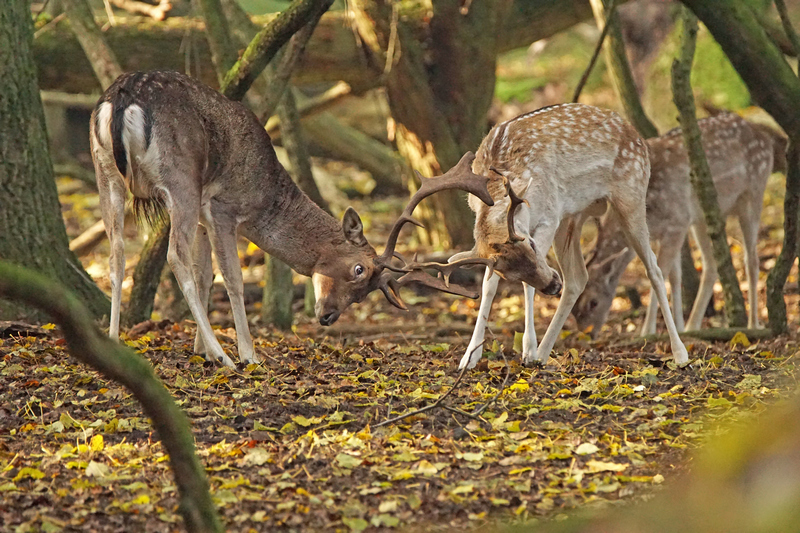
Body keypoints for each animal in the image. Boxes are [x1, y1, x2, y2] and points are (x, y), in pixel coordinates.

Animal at [89, 69, 494, 366]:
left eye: (364, 294)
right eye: (359, 270)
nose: (328, 316)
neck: (266, 194)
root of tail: (121, 99)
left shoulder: (206, 214)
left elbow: (205, 275)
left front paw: (200, 348)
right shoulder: (222, 207)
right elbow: (231, 279)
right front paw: (246, 353)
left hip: (106, 172)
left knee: (116, 255)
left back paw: (113, 341)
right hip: (180, 179)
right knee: (173, 255)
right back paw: (227, 358)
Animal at [576, 112, 788, 336]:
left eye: (593, 302)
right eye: (574, 310)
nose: (588, 333)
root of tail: (765, 137)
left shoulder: (677, 222)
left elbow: (660, 274)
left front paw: (648, 331)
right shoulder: (670, 230)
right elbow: (675, 276)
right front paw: (678, 325)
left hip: (753, 193)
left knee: (752, 259)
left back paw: (753, 324)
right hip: (702, 218)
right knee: (711, 264)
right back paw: (692, 325)